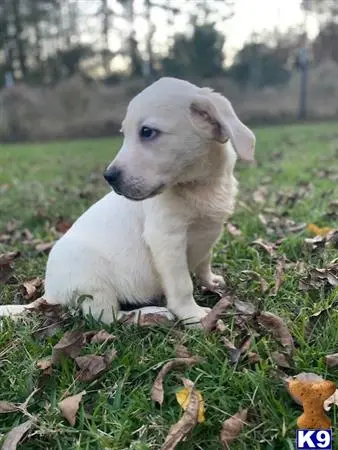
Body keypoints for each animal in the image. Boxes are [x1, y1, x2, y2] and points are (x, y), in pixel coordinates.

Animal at [0, 76, 254, 324]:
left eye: (147, 132)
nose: (109, 177)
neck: (199, 185)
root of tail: (50, 294)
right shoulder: (166, 240)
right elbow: (182, 284)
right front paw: (192, 314)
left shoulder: (208, 232)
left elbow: (204, 261)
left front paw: (211, 281)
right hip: (93, 283)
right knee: (107, 317)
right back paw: (149, 313)